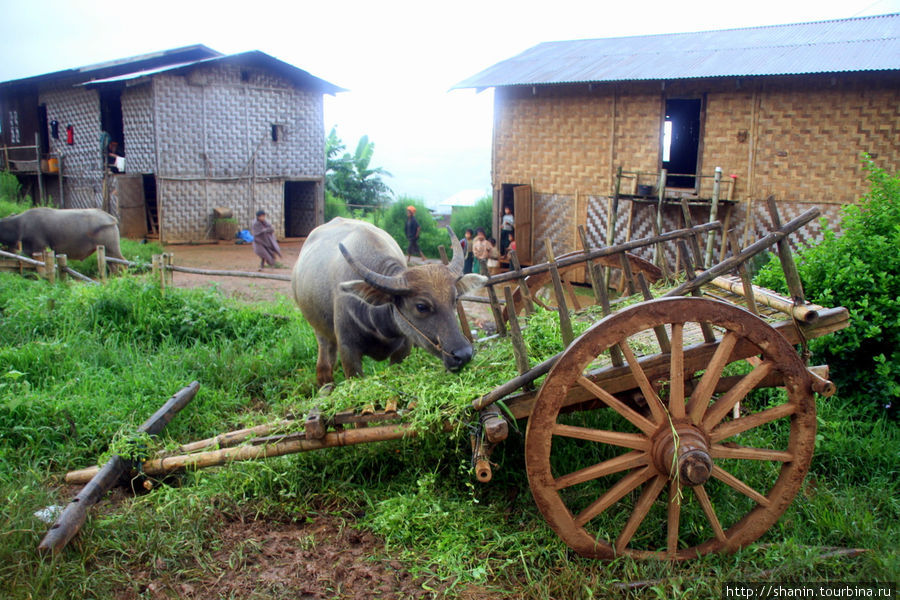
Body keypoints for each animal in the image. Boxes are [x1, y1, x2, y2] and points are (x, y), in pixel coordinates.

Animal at [292, 218, 486, 386]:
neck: (376, 322)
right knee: (324, 365)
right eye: (421, 306)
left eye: (455, 299)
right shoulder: (348, 350)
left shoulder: (404, 347)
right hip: (320, 332)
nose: (464, 354)